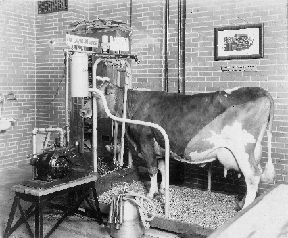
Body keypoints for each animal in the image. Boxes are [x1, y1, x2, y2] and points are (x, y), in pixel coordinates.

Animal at [82, 82, 276, 210]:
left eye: (95, 96)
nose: (83, 111)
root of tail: (261, 91)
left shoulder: (145, 142)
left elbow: (152, 170)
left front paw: (150, 195)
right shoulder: (159, 147)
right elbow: (162, 169)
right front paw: (163, 191)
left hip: (243, 148)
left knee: (252, 176)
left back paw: (245, 207)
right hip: (253, 150)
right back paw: (243, 201)